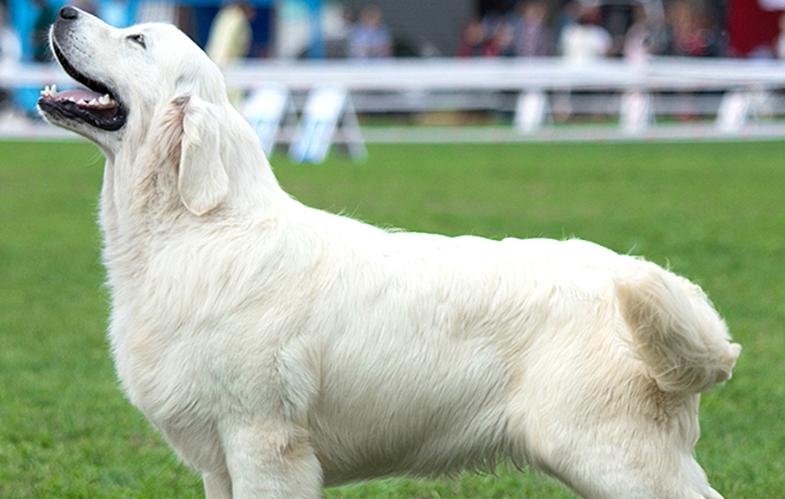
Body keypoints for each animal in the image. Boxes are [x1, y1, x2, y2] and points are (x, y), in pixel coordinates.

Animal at [41, 7, 740, 499]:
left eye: (137, 40)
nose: (64, 10)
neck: (193, 229)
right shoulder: (220, 460)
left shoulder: (264, 442)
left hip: (618, 457)